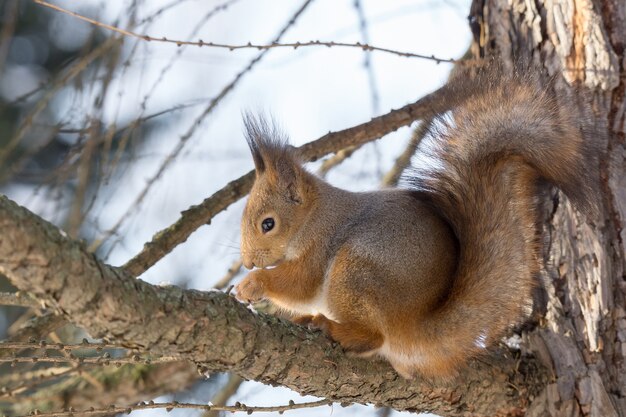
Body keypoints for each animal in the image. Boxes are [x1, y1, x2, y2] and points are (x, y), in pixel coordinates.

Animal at [234, 64, 600, 376]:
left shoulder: (322, 243)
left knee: (372, 336)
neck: (312, 217)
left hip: (355, 272)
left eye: (268, 223)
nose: (249, 261)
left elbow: (300, 282)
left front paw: (252, 284)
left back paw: (332, 327)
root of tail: (414, 325)